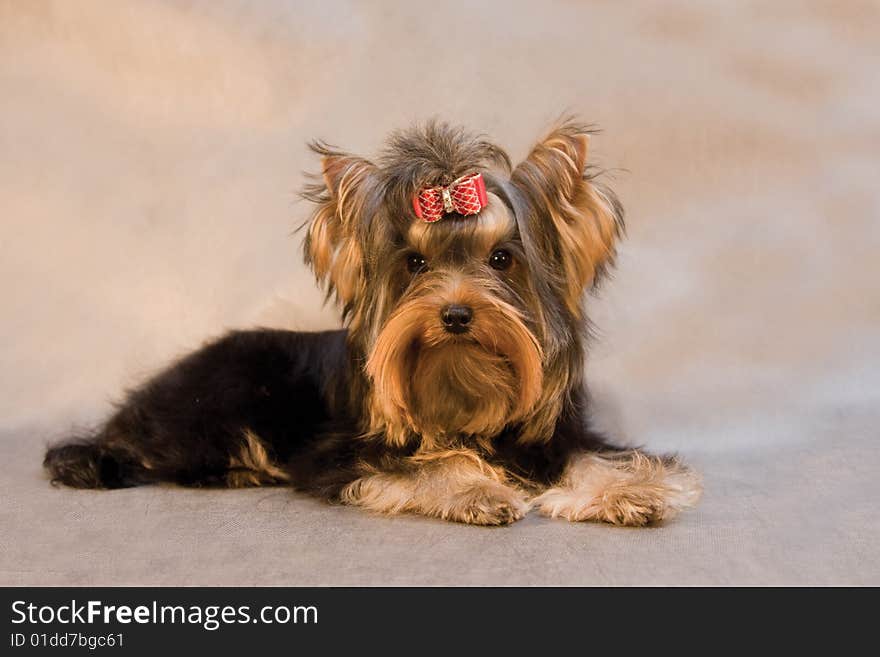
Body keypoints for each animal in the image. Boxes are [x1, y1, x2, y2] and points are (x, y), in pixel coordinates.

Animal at [43, 118, 700, 524]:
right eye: (414, 263)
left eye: (501, 259)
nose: (456, 313)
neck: (464, 392)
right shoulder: (345, 453)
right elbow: (424, 463)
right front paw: (474, 488)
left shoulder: (556, 434)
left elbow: (591, 459)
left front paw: (631, 491)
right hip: (222, 398)